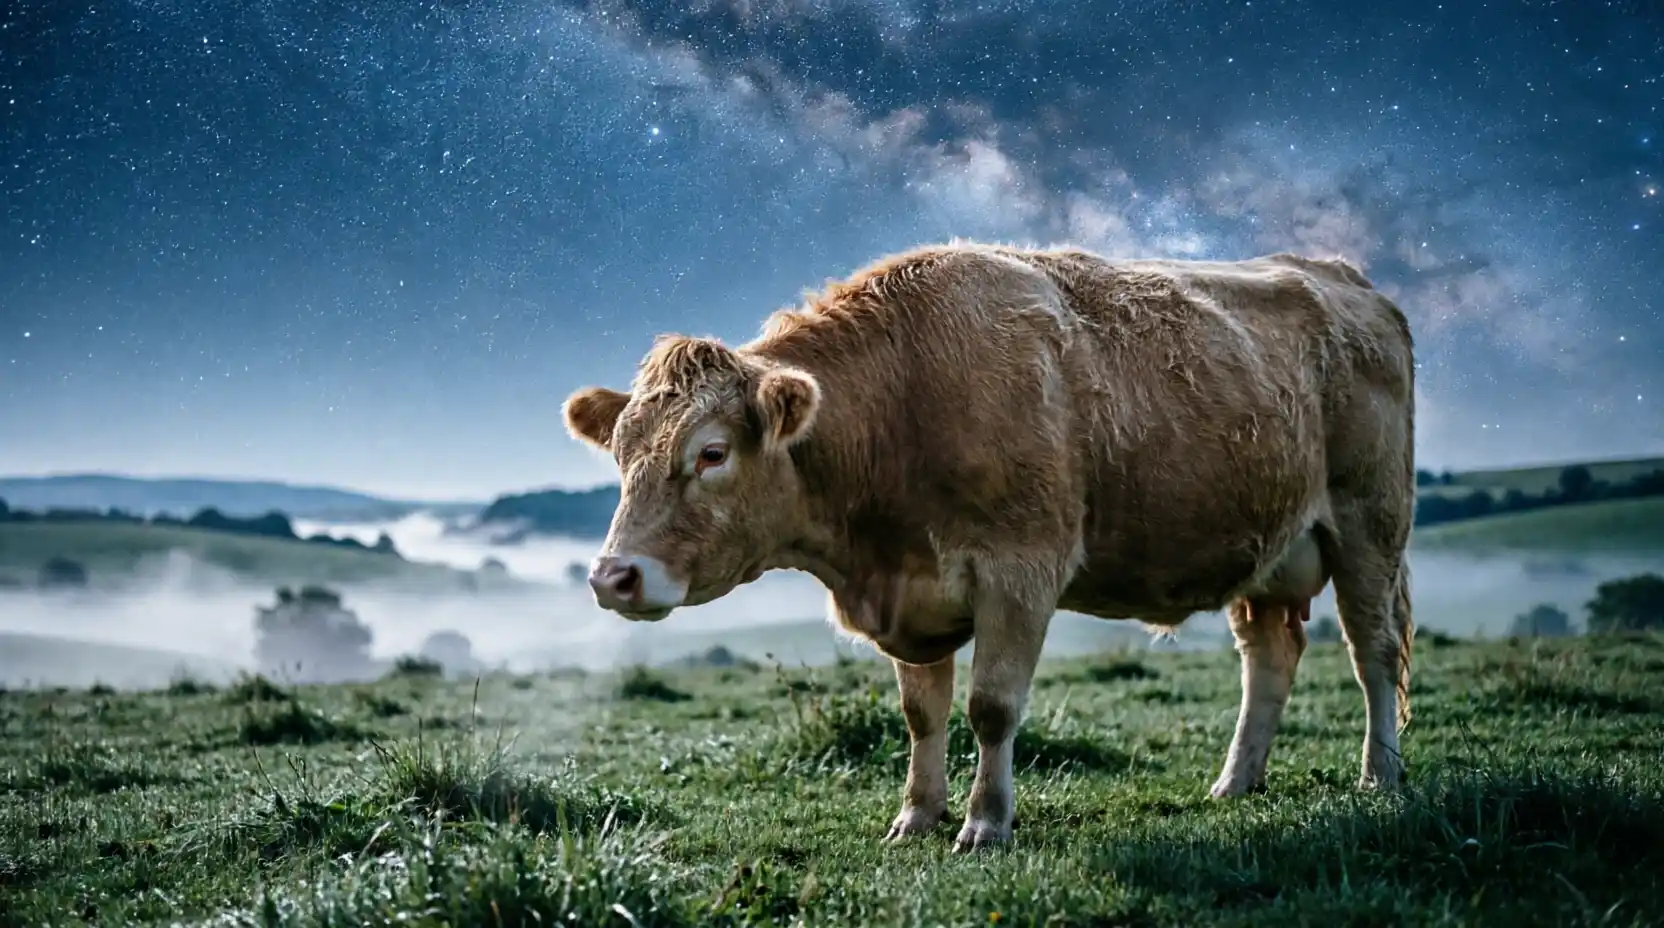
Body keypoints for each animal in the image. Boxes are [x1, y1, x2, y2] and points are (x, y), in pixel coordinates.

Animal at [561, 241, 1416, 852]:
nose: (612, 577)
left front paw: (985, 823)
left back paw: (1380, 776)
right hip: (1267, 550)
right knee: (1270, 656)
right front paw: (917, 816)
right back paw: (1236, 781)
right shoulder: (912, 594)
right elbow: (921, 714)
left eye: (710, 454)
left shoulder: (1020, 572)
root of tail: (1345, 278)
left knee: (1372, 651)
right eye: (622, 453)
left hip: (1370, 524)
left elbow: (992, 706)